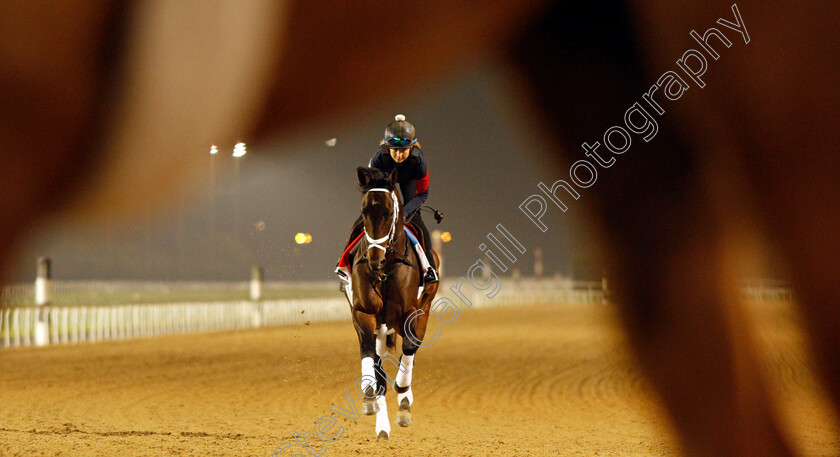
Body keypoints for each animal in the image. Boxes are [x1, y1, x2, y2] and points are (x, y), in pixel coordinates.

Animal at [348, 166, 440, 440]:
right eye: (364, 211)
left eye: (390, 211)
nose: (374, 258)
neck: (386, 269)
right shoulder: (363, 312)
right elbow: (370, 355)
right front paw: (370, 396)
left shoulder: (411, 313)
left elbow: (409, 347)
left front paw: (403, 391)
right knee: (377, 358)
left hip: (423, 310)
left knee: (413, 348)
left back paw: (403, 402)